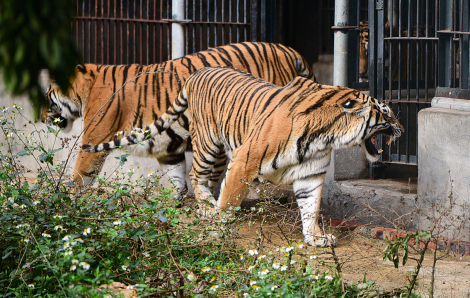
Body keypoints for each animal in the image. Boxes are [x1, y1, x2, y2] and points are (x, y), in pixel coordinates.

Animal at [42, 42, 316, 198]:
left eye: (47, 94)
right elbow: (176, 176)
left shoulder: (95, 138)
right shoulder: (167, 147)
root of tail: (289, 50)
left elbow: (80, 173)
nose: (42, 117)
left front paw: (67, 200)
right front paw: (173, 201)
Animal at [83, 67, 404, 247]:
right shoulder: (244, 161)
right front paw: (218, 229)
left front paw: (315, 237)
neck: (326, 137)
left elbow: (310, 207)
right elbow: (229, 200)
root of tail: (196, 74)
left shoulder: (311, 175)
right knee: (195, 175)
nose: (402, 128)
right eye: (387, 112)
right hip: (208, 145)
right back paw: (206, 208)